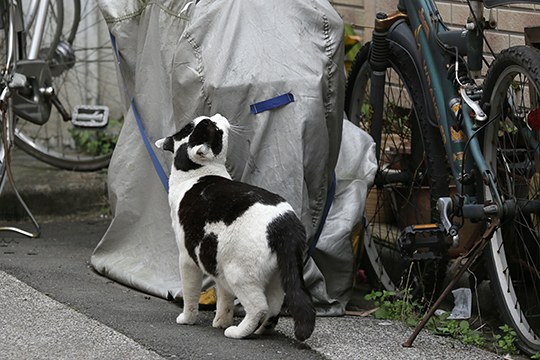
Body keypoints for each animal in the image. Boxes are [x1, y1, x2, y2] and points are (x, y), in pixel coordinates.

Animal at [156, 114, 314, 340]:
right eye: (213, 126)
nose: (217, 116)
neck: (192, 175)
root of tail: (285, 222)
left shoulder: (187, 258)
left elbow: (190, 293)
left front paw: (187, 319)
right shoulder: (215, 262)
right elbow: (224, 298)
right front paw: (221, 321)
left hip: (238, 273)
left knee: (259, 307)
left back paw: (239, 332)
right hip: (274, 276)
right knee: (274, 305)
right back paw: (262, 329)